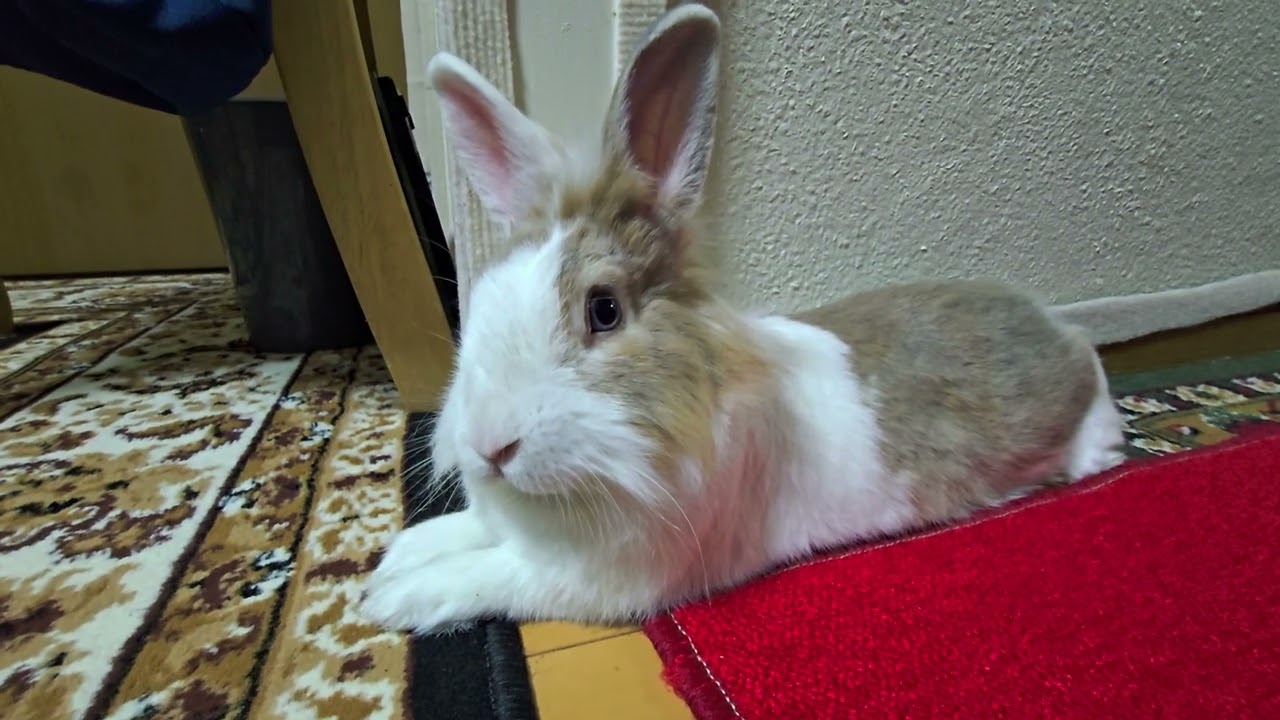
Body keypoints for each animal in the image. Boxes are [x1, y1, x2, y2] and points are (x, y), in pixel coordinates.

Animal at [361, 3, 1128, 636]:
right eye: (484, 297)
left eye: (604, 310)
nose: (490, 446)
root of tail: (1046, 321)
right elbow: (467, 534)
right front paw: (398, 555)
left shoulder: (591, 579)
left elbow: (493, 575)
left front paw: (393, 598)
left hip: (1071, 397)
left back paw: (1102, 457)